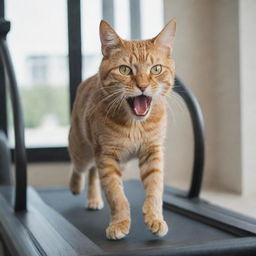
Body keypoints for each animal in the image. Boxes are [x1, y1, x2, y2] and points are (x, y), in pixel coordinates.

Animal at [68, 18, 176, 240]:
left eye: (156, 69)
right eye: (125, 70)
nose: (142, 86)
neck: (136, 125)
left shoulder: (152, 152)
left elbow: (155, 189)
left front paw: (155, 217)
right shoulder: (107, 157)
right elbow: (116, 195)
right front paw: (120, 223)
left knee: (93, 173)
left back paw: (93, 199)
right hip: (82, 150)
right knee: (79, 167)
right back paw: (75, 186)